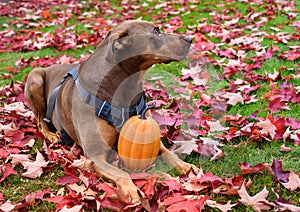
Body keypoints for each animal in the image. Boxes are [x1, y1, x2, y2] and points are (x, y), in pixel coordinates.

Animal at [25, 19, 199, 204]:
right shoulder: (96, 156)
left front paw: (186, 166)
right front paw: (132, 191)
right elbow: (121, 173)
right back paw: (51, 135)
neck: (126, 88)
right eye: (156, 31)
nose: (190, 38)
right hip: (35, 79)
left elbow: (168, 153)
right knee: (40, 120)